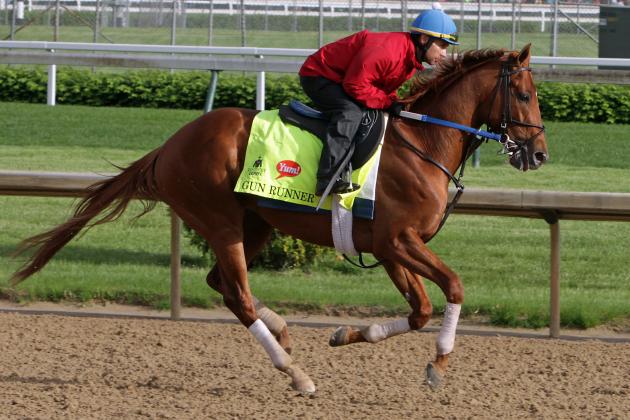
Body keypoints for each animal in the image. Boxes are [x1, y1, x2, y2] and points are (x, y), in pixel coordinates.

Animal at [9, 45, 548, 394]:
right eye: (524, 95)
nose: (538, 154)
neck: (423, 144)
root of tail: (170, 145)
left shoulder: (388, 244)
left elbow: (419, 310)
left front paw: (346, 334)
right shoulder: (399, 240)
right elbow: (453, 286)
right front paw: (438, 365)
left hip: (256, 224)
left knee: (222, 284)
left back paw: (284, 332)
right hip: (222, 222)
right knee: (239, 295)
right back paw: (295, 371)